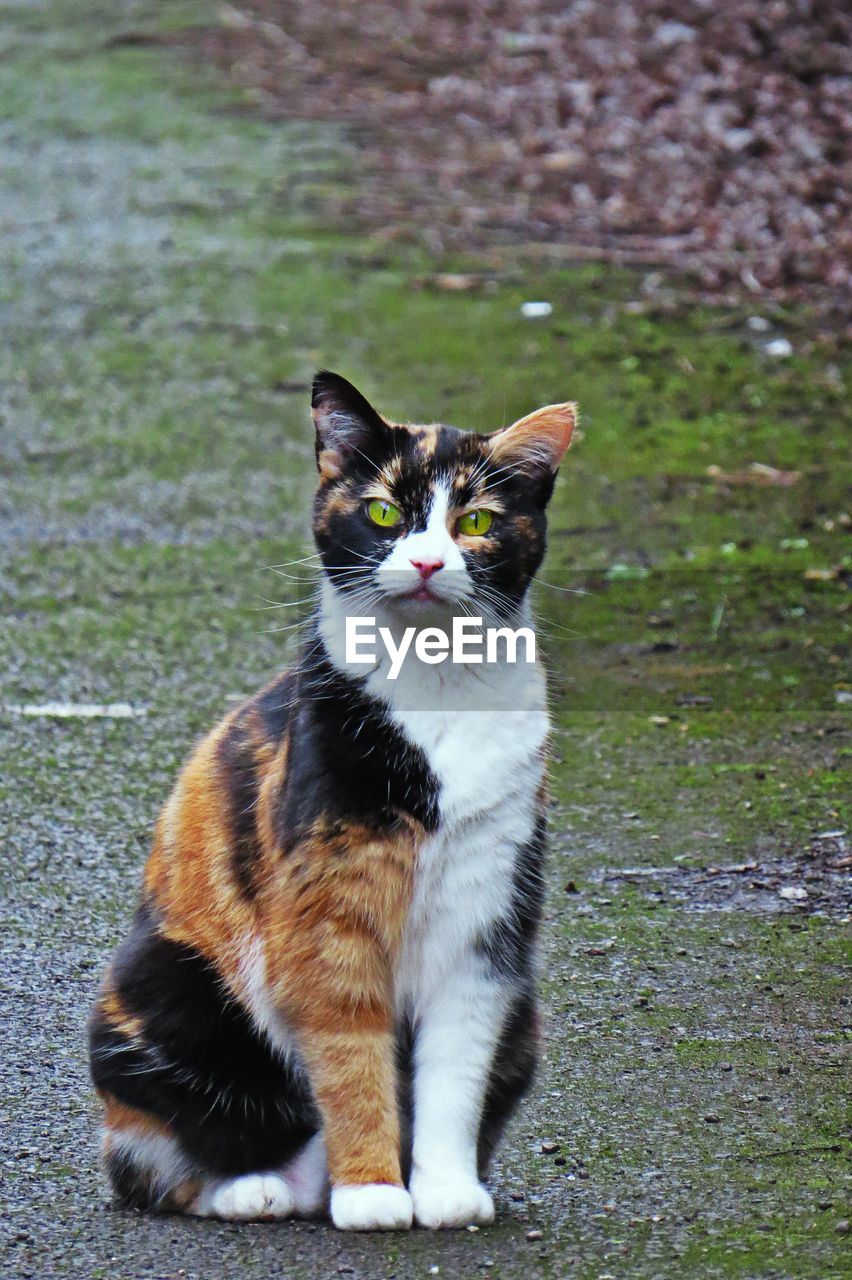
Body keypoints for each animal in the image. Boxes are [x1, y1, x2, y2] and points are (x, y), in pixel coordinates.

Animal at [89, 373, 573, 1233]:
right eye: (382, 513)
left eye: (476, 521)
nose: (426, 559)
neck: (434, 690)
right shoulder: (328, 913)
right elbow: (350, 1058)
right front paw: (374, 1191)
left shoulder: (485, 924)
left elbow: (454, 1070)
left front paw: (444, 1191)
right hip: (166, 987)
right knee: (153, 1160)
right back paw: (258, 1190)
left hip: (524, 1020)